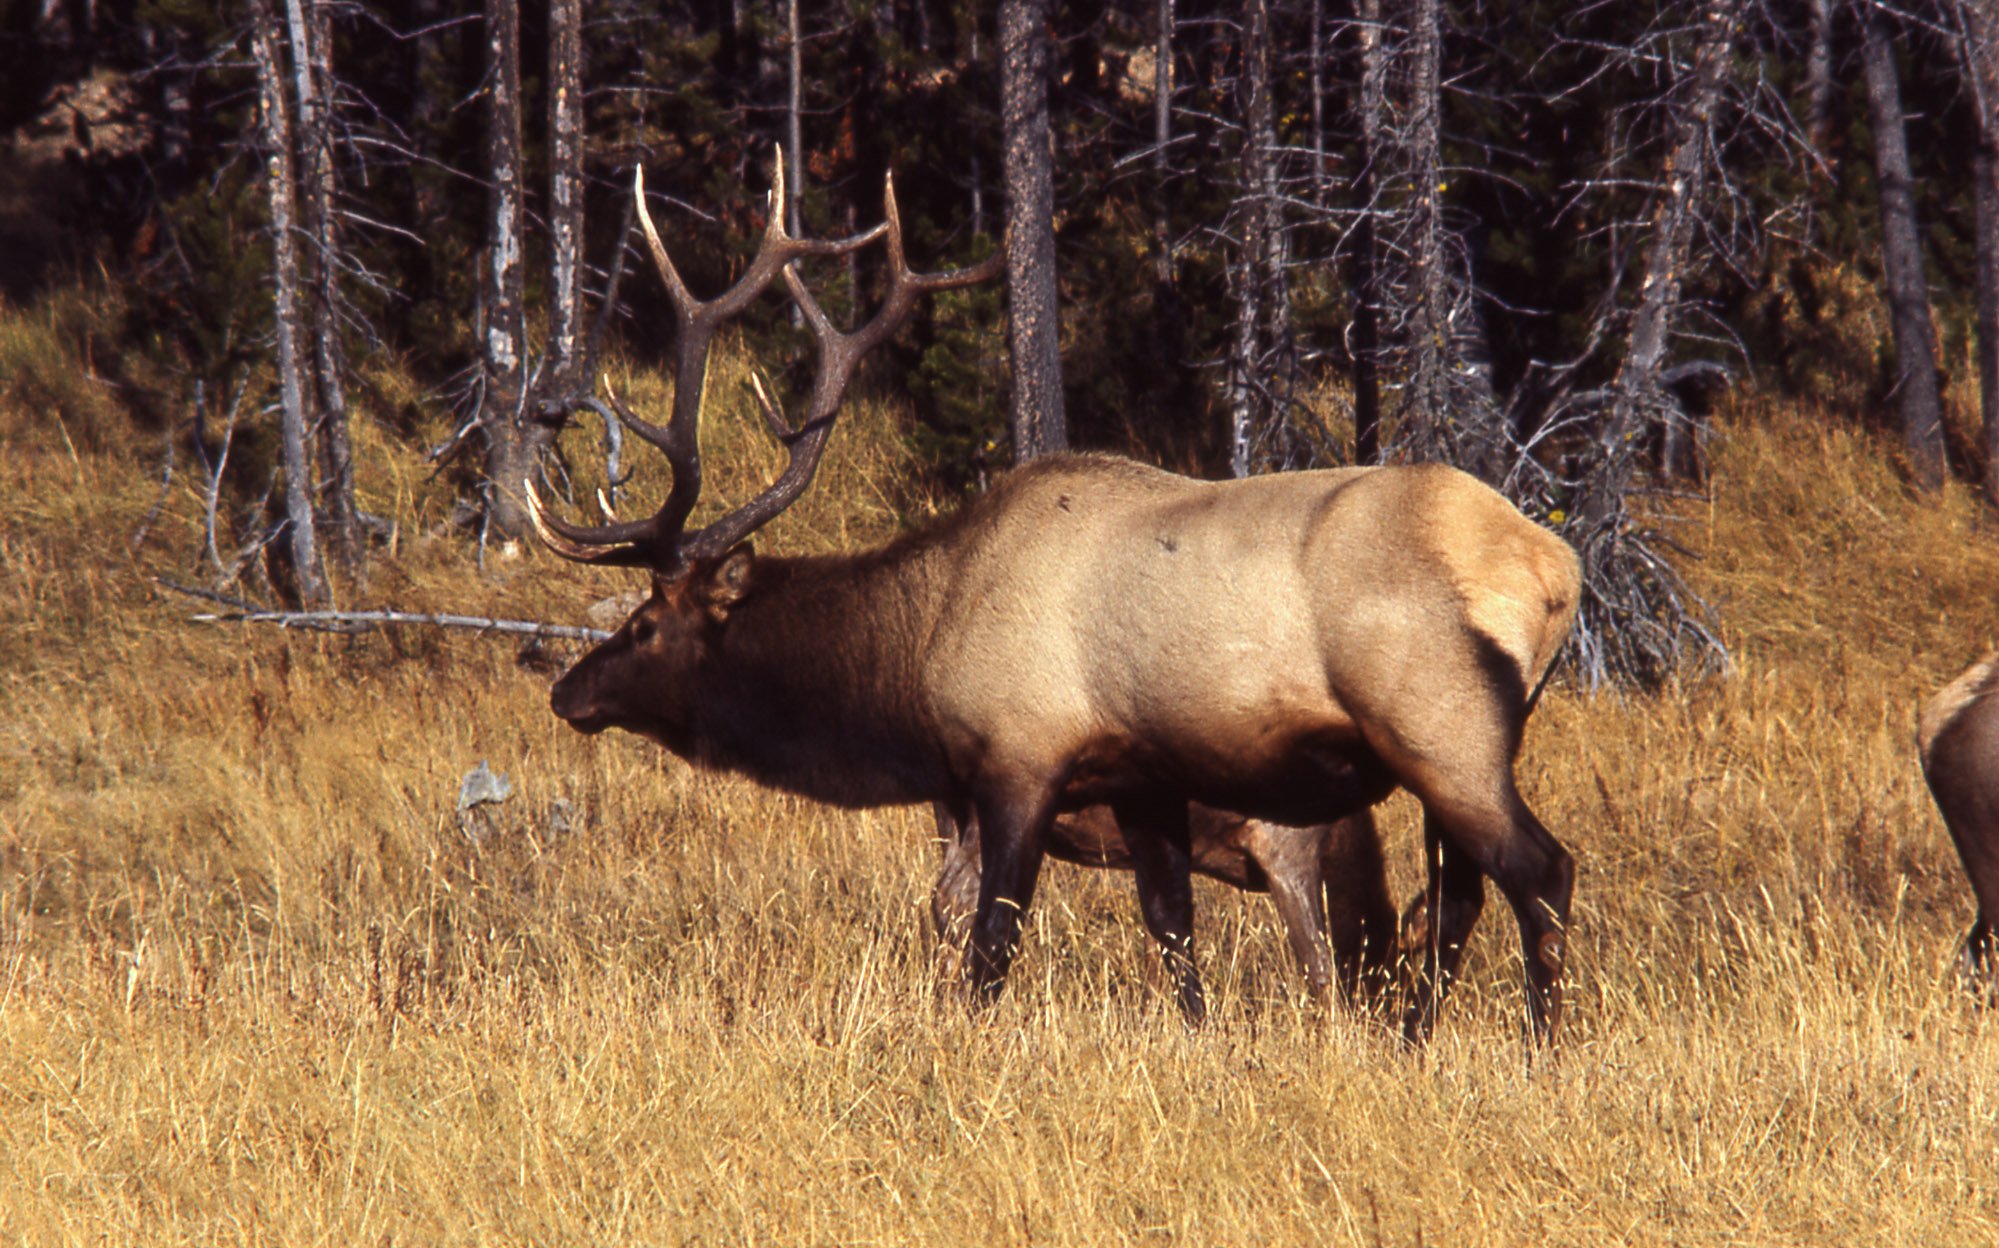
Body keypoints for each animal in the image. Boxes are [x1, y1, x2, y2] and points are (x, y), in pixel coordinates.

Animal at [528, 158, 1584, 1045]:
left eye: (644, 624)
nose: (565, 693)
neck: (915, 657)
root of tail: (1554, 571)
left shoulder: (1020, 757)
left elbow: (992, 941)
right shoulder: (1142, 775)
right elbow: (1172, 929)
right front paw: (1198, 1040)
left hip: (1439, 725)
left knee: (1539, 871)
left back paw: (1543, 1044)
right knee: (1454, 899)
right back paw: (1413, 1039)